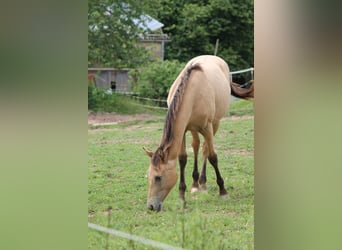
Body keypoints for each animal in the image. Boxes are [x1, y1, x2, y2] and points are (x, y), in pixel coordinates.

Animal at [143, 54, 252, 211]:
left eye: (158, 177)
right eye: (148, 175)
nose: (151, 206)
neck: (193, 92)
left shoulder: (207, 127)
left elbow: (213, 157)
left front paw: (223, 191)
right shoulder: (183, 131)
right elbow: (182, 159)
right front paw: (181, 197)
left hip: (214, 124)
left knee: (205, 149)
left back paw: (203, 183)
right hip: (194, 129)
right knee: (196, 145)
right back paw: (196, 185)